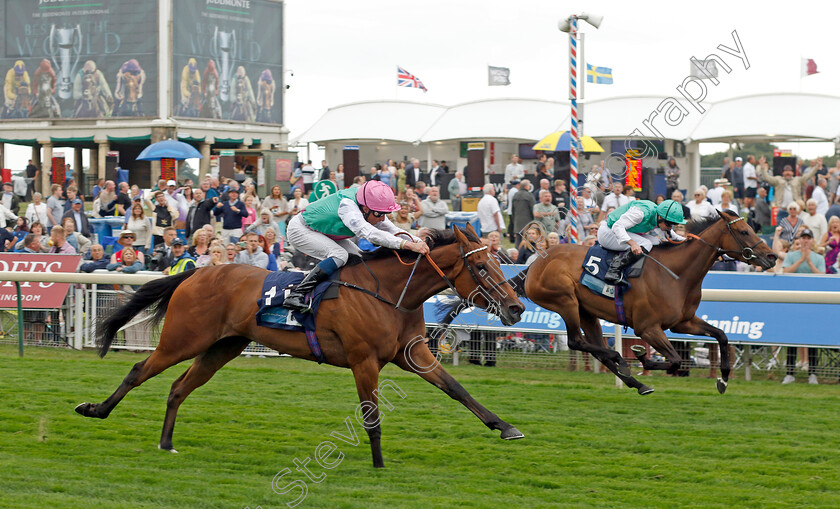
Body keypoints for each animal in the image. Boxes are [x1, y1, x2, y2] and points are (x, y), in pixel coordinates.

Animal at [79, 225, 524, 464]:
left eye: (500, 261)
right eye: (481, 266)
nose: (517, 307)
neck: (391, 293)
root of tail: (194, 272)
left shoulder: (413, 353)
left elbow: (457, 389)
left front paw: (506, 427)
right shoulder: (364, 360)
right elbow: (371, 416)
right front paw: (379, 463)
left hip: (224, 346)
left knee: (178, 387)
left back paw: (167, 442)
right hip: (183, 339)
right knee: (140, 370)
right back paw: (95, 409)